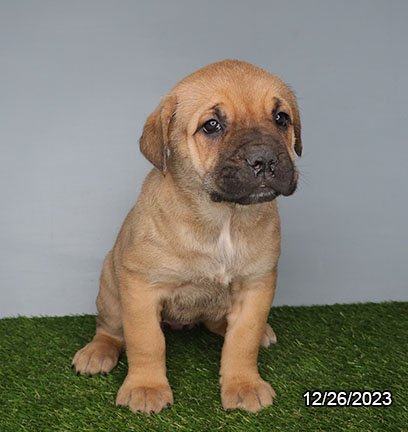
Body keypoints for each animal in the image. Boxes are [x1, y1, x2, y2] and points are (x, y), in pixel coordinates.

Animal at [71, 59, 302, 414]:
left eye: (281, 118)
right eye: (211, 125)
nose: (264, 160)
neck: (223, 217)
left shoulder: (256, 285)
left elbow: (242, 340)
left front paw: (243, 384)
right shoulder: (141, 288)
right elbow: (146, 341)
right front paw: (146, 387)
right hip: (110, 289)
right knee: (110, 328)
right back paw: (98, 352)